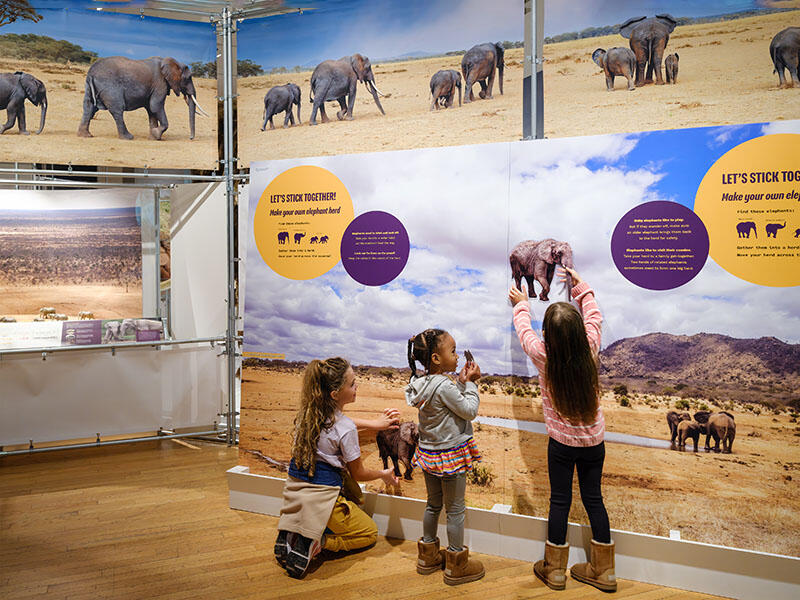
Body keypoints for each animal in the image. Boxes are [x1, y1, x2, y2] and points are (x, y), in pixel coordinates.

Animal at [76, 56, 209, 141]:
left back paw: (85, 136)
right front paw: (156, 134)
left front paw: (154, 137)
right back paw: (128, 137)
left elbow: (151, 110)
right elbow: (156, 106)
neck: (172, 62)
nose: (190, 138)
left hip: (90, 87)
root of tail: (91, 73)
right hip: (110, 88)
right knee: (117, 110)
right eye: (188, 78)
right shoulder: (160, 83)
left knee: (89, 108)